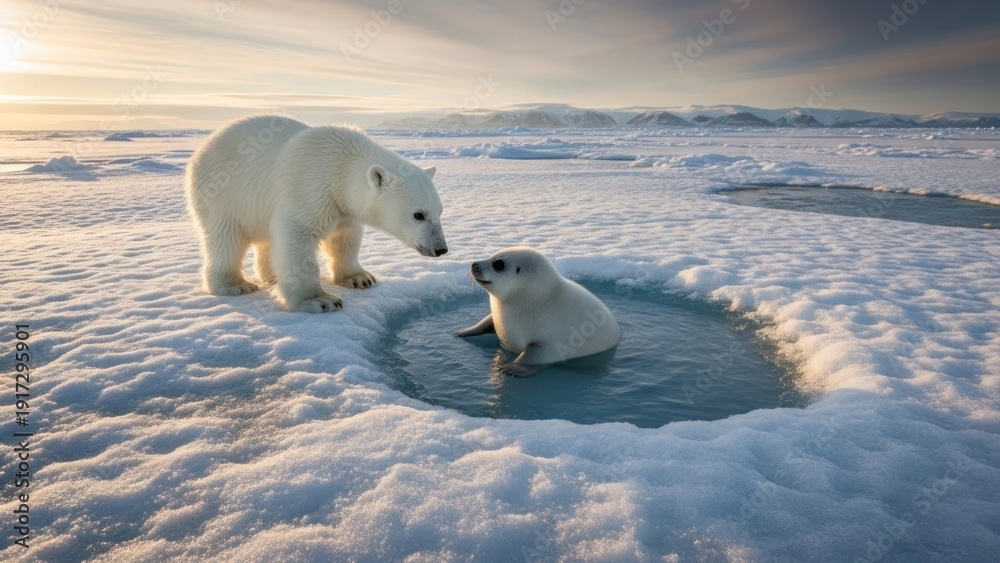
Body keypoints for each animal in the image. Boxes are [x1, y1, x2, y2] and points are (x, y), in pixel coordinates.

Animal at [186, 114, 448, 313]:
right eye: (418, 215)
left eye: (440, 212)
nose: (441, 248)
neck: (340, 167)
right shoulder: (309, 186)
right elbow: (297, 237)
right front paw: (319, 300)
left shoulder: (342, 208)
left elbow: (346, 238)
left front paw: (359, 278)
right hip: (223, 193)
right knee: (226, 238)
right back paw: (234, 285)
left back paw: (271, 277)